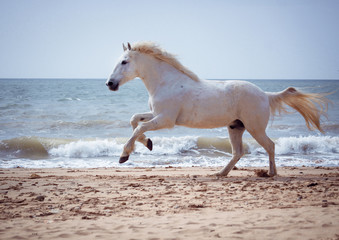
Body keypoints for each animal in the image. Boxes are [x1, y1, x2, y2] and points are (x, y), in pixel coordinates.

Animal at [107, 41, 330, 176]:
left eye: (124, 62)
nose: (110, 84)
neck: (166, 82)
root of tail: (265, 95)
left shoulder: (166, 120)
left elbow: (139, 127)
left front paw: (124, 155)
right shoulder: (156, 115)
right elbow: (134, 120)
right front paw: (148, 144)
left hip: (255, 128)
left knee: (270, 146)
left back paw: (270, 173)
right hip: (235, 127)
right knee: (238, 152)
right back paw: (221, 173)